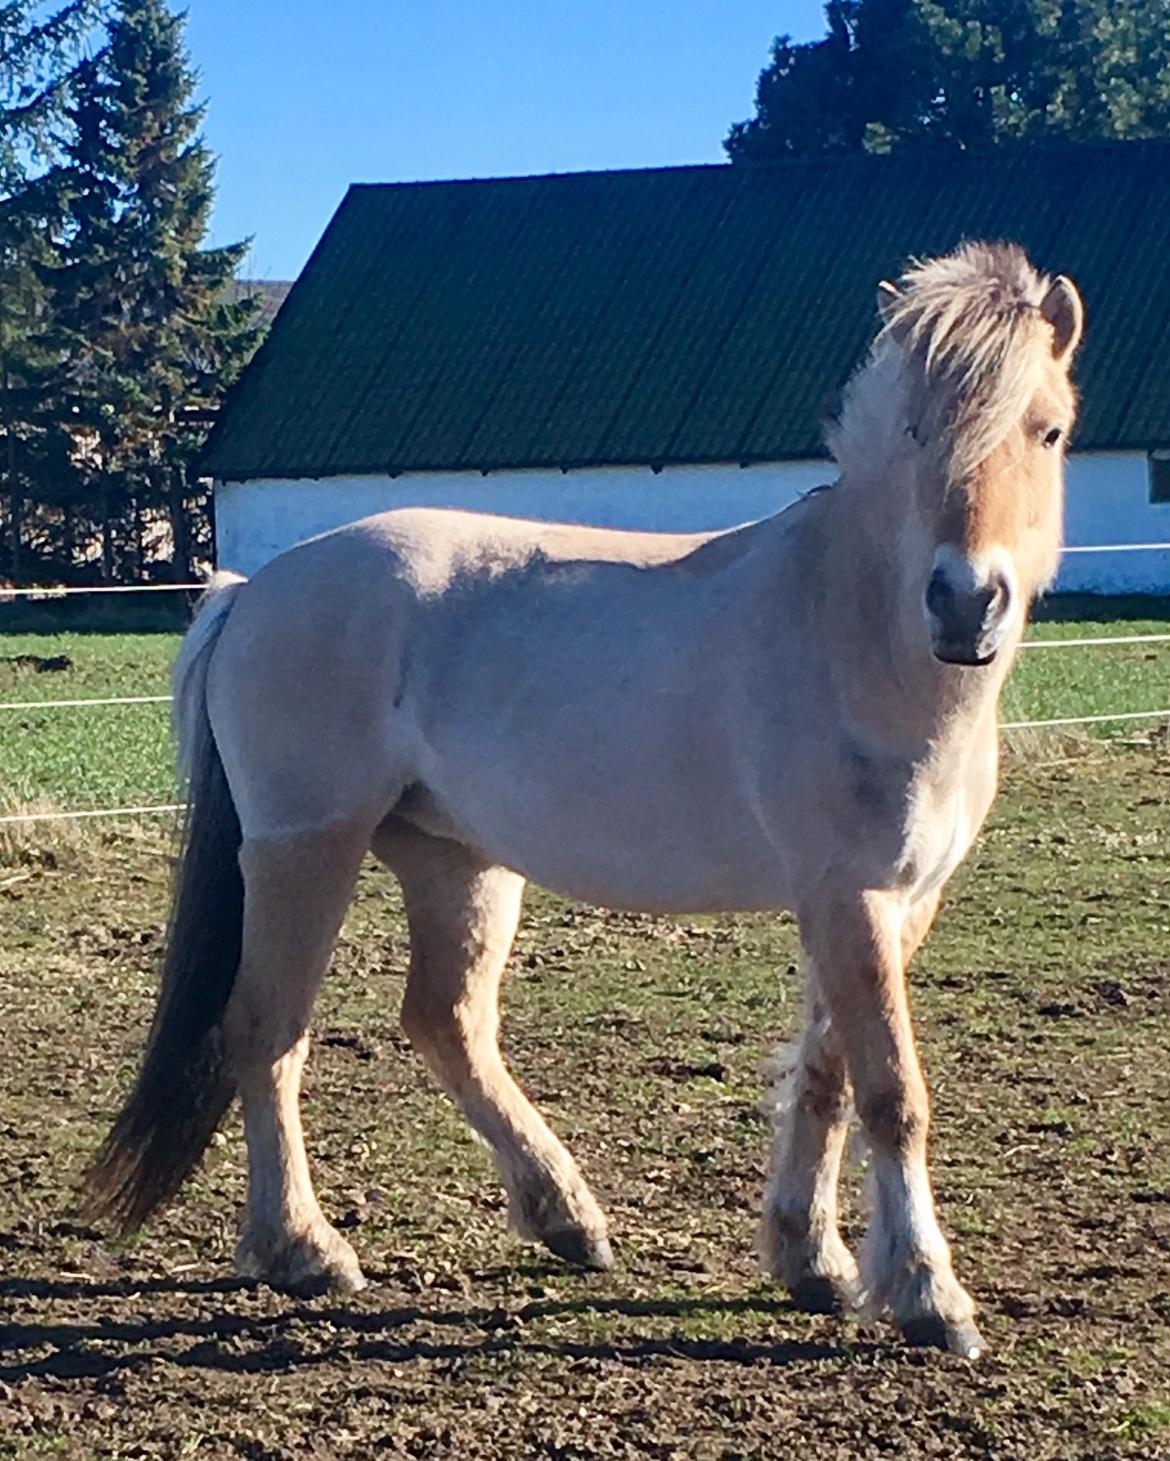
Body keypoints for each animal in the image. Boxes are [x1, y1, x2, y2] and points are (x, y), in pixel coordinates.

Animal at [86, 242, 1080, 1355]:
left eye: (1048, 427)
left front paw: (810, 1260)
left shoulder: (897, 901)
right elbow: (891, 1091)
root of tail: (250, 592)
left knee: (446, 1021)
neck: (852, 631)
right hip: (306, 851)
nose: (965, 602)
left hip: (457, 860)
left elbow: (826, 1074)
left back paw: (567, 1219)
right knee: (267, 1032)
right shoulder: (850, 898)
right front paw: (926, 1294)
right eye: (915, 431)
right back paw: (303, 1249)